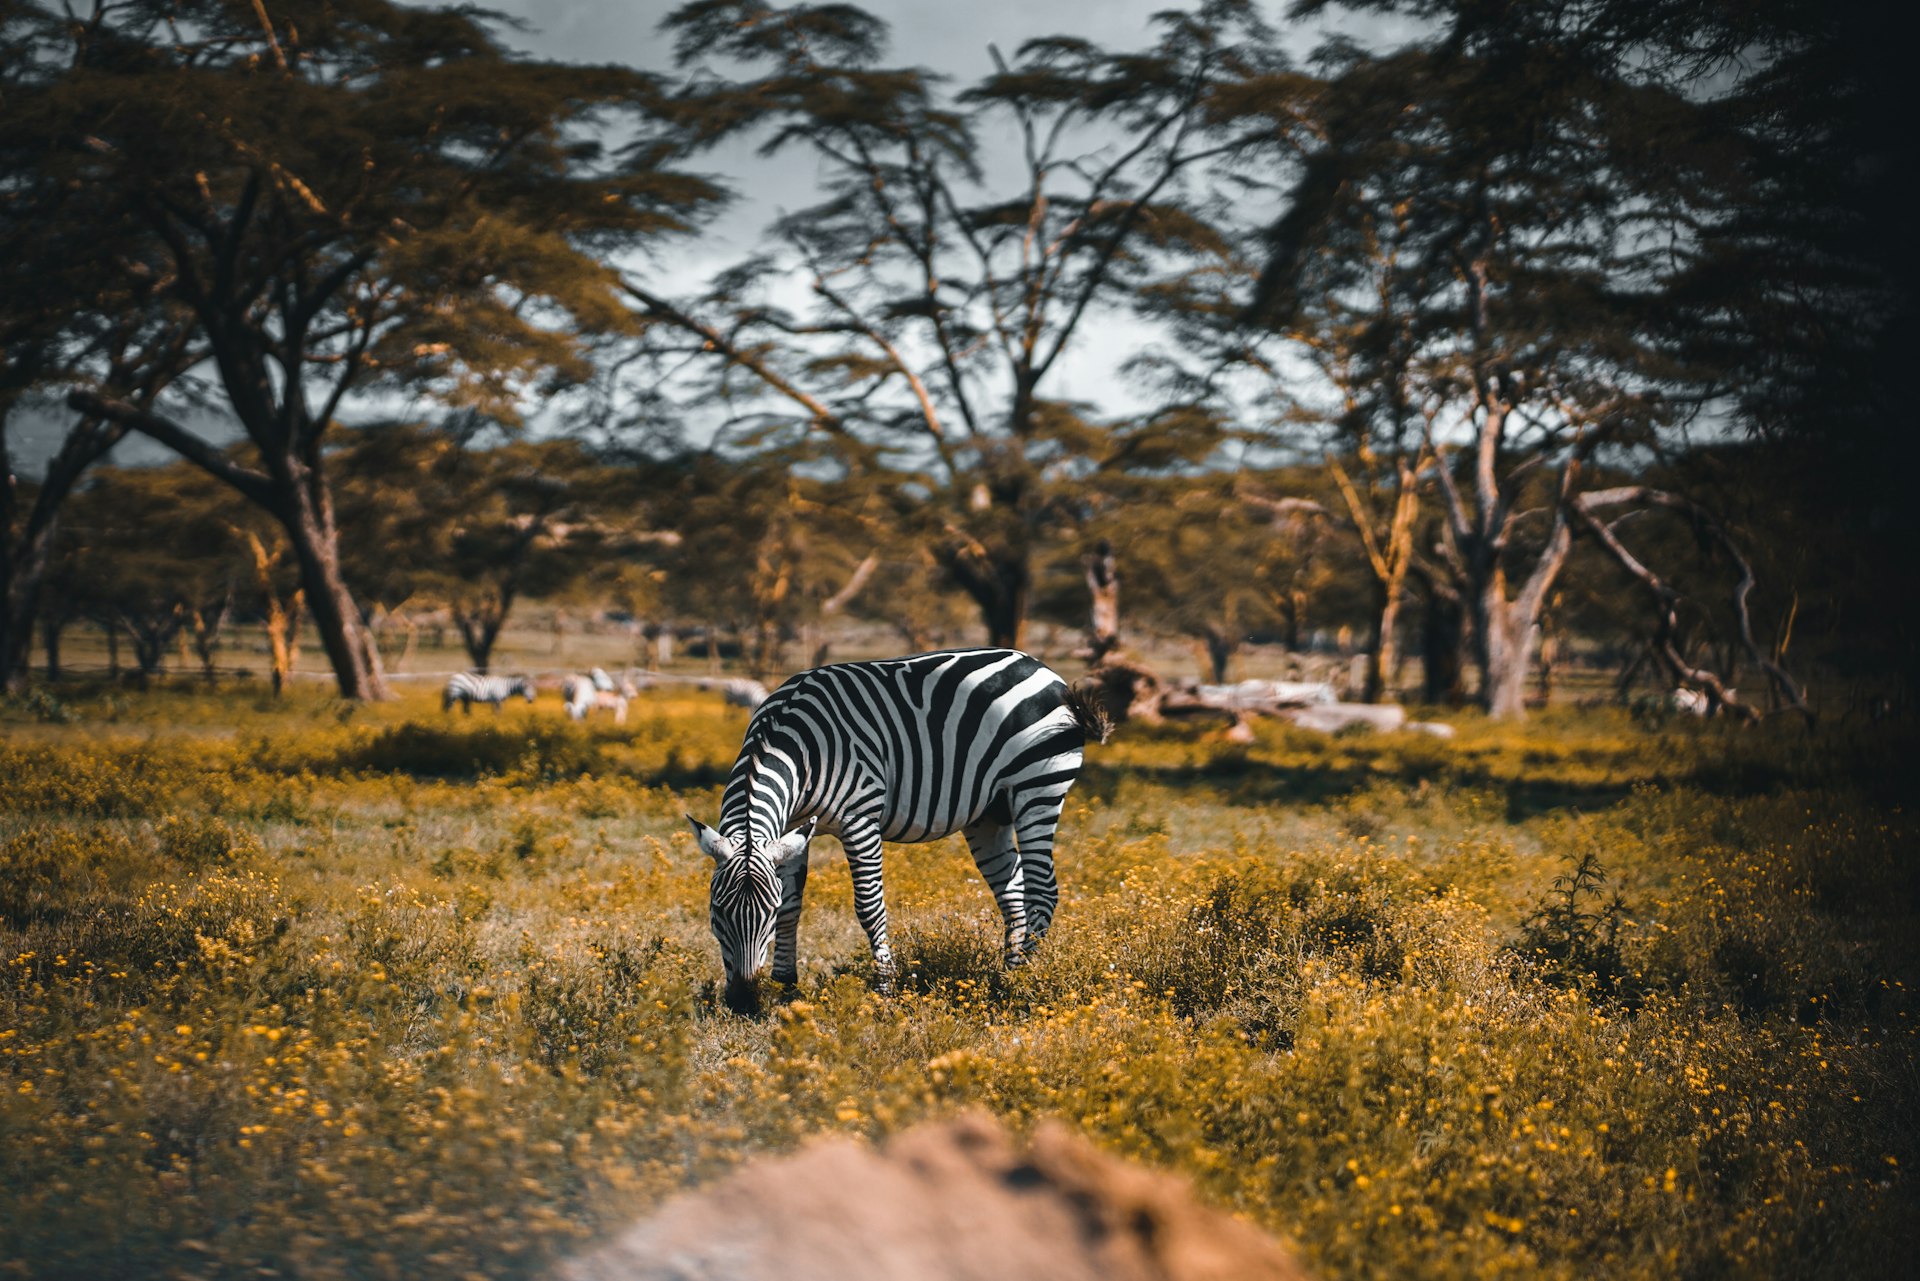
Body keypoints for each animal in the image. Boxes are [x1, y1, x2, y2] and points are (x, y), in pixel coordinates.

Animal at [686, 648, 1111, 1014]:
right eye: (717, 910)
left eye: (766, 915)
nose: (744, 1002)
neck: (794, 746)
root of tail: (1039, 667)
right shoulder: (791, 829)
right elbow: (794, 904)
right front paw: (787, 988)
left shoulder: (859, 819)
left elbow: (869, 907)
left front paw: (884, 990)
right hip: (991, 813)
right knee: (1013, 894)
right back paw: (1003, 976)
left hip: (1038, 787)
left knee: (1042, 890)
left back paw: (1022, 981)